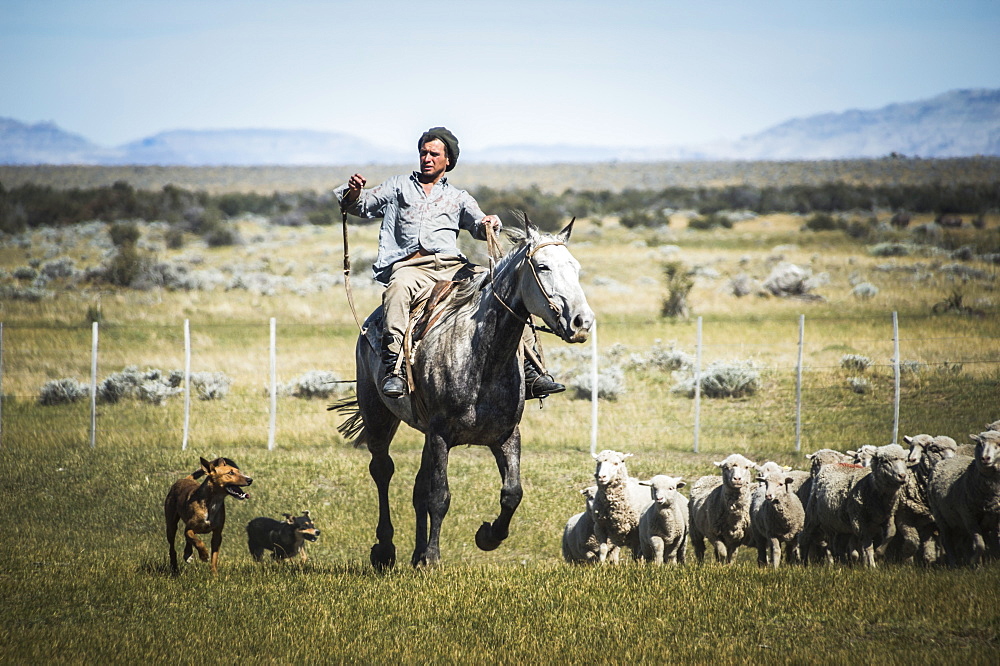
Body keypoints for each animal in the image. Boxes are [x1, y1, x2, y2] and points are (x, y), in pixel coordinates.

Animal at [340, 215, 596, 568]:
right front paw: (433, 557)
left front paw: (487, 536)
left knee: (417, 488)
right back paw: (385, 550)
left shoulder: (506, 436)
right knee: (382, 471)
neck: (484, 359)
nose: (582, 322)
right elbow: (439, 497)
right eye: (543, 266)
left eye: (576, 267)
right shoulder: (441, 435)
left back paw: (416, 553)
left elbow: (512, 493)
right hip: (378, 416)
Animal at [892, 434, 960, 564]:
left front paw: (929, 561)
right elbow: (912, 541)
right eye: (935, 450)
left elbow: (929, 547)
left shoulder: (930, 522)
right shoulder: (903, 517)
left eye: (954, 450)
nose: (912, 458)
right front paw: (906, 560)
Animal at [924, 428, 1000, 564]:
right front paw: (974, 562)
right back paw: (954, 563)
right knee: (947, 541)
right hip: (941, 517)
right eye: (979, 444)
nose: (985, 458)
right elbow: (980, 545)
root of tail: (947, 459)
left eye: (999, 444)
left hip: (960, 523)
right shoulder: (969, 517)